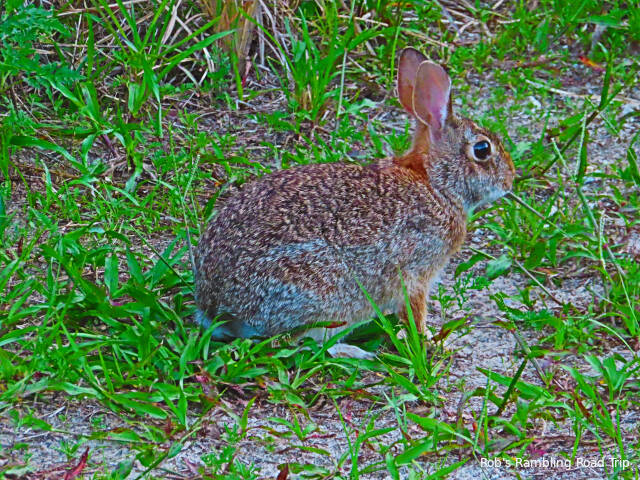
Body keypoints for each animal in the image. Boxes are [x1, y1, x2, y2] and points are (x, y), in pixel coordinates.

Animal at [194, 47, 515, 359]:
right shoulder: (415, 273)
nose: (509, 180)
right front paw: (430, 342)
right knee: (300, 342)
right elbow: (415, 313)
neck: (435, 184)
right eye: (482, 149)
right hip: (329, 297)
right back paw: (358, 352)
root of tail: (216, 307)